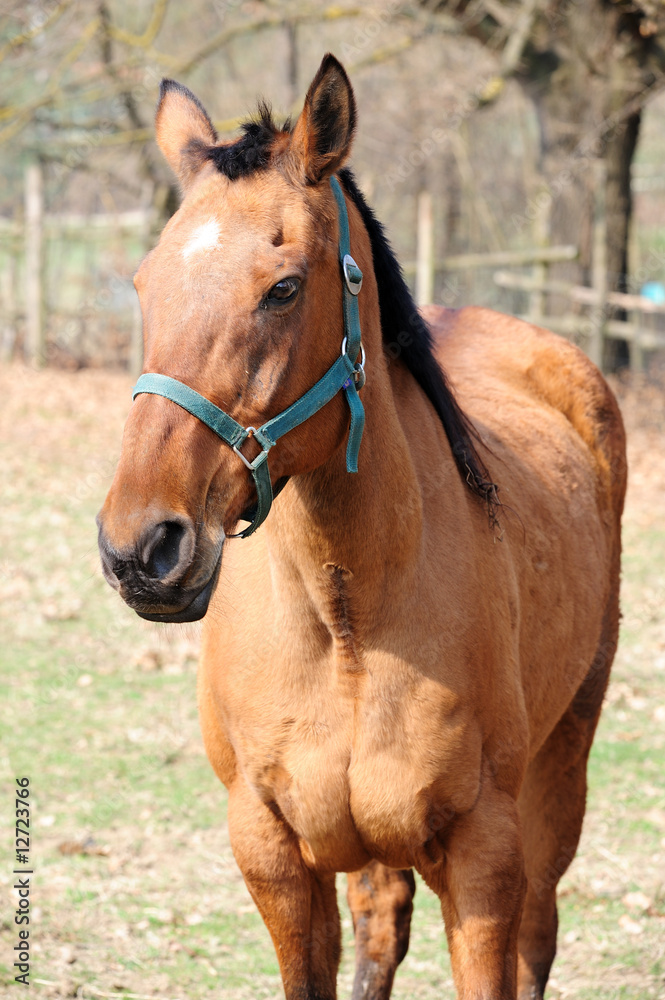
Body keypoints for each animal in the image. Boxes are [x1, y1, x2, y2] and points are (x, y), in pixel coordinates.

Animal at [97, 54, 626, 1000]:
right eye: (144, 283)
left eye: (282, 287)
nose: (141, 549)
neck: (346, 615)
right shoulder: (273, 854)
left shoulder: (484, 861)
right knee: (383, 924)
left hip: (562, 765)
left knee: (539, 932)